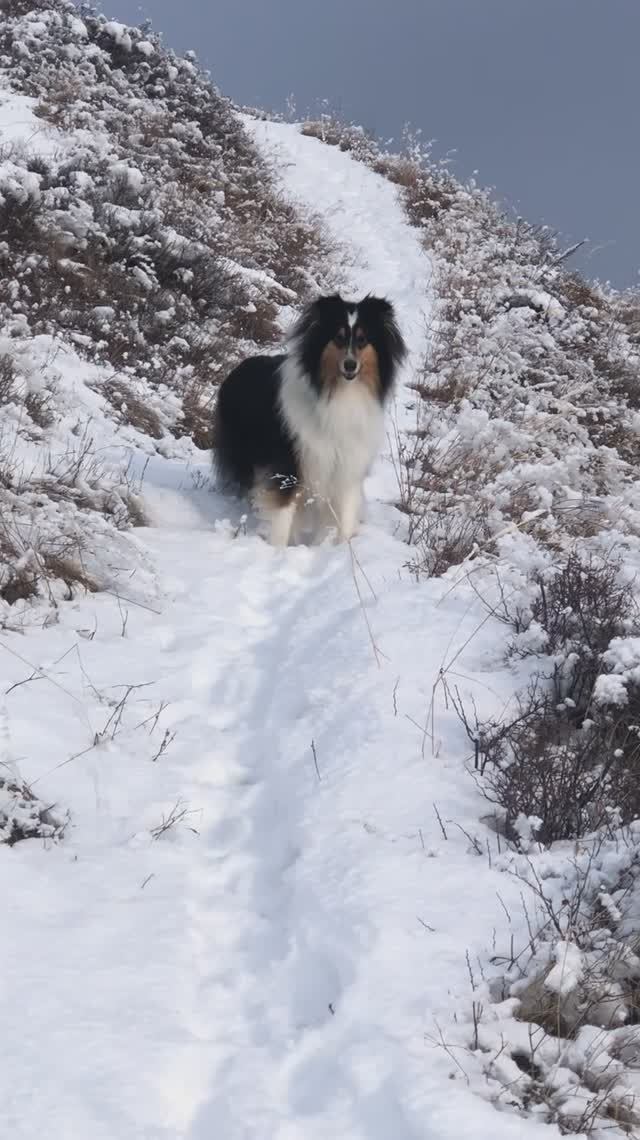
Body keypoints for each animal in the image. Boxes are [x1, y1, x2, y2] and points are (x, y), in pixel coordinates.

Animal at [212, 291, 406, 544]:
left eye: (363, 340)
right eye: (338, 338)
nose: (350, 365)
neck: (338, 394)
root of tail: (237, 367)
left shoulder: (348, 464)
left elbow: (346, 512)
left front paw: (341, 547)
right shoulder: (290, 463)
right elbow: (283, 513)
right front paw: (277, 549)